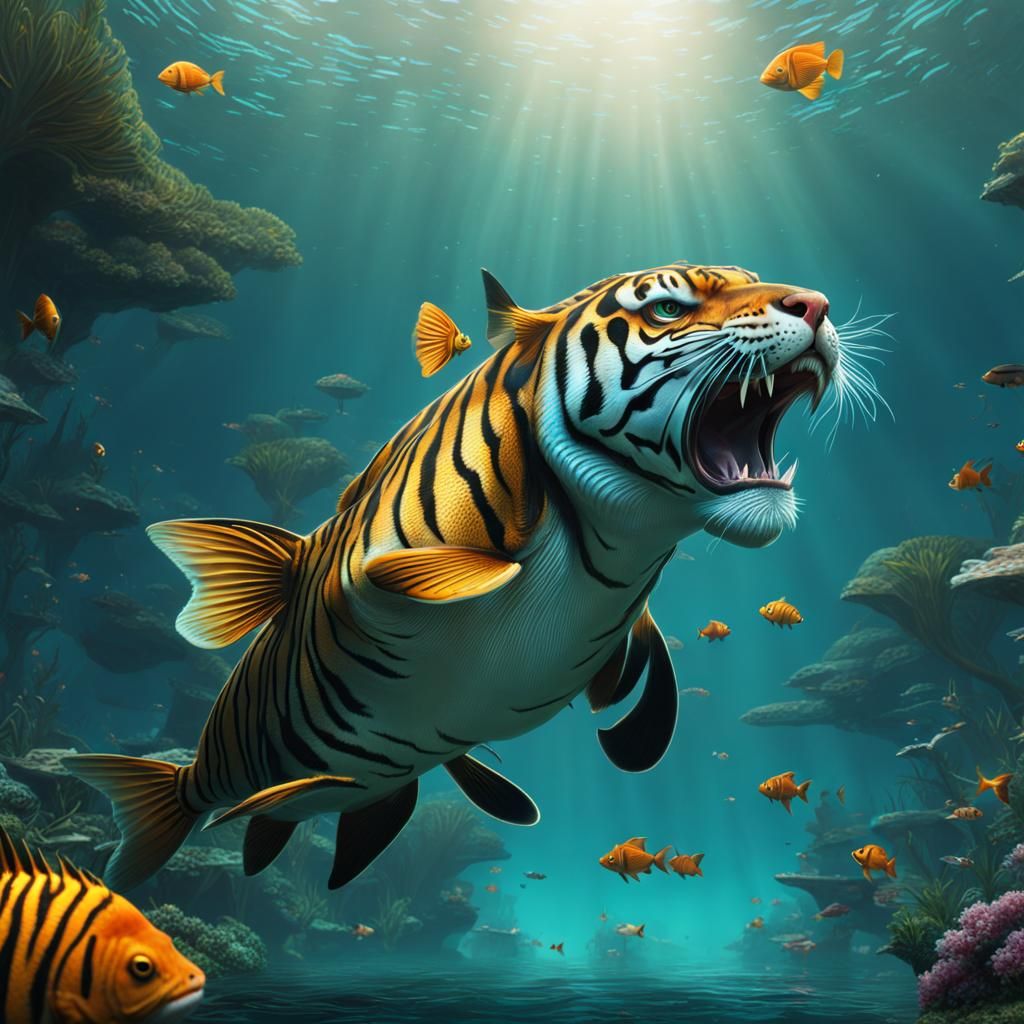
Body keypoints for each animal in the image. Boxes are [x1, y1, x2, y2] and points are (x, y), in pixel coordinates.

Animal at [66, 260, 857, 893]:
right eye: (667, 309)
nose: (818, 304)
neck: (610, 537)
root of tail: (185, 777)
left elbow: (649, 703)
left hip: (380, 777)